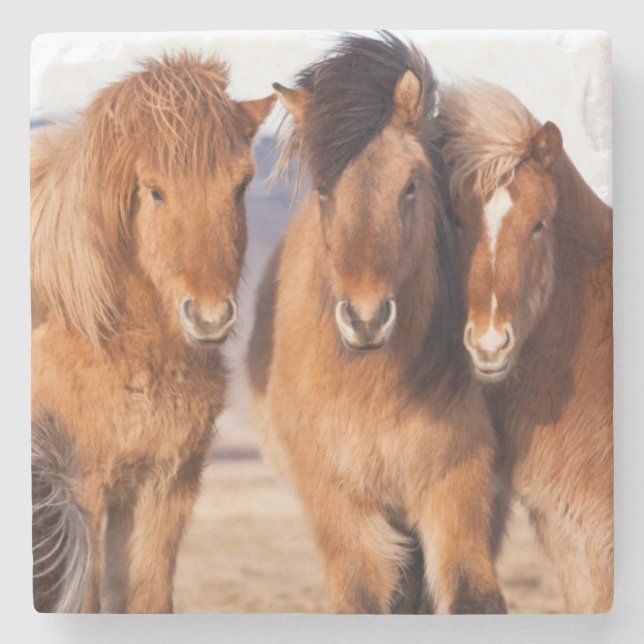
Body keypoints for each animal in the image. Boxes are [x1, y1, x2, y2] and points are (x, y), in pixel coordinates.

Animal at [31, 52, 275, 613]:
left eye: (241, 186)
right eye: (155, 190)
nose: (209, 317)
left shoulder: (166, 483)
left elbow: (146, 597)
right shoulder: (82, 487)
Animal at [246, 33, 506, 614]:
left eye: (412, 184)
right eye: (323, 188)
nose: (365, 319)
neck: (373, 388)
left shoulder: (458, 486)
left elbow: (470, 594)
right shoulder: (339, 503)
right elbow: (362, 597)